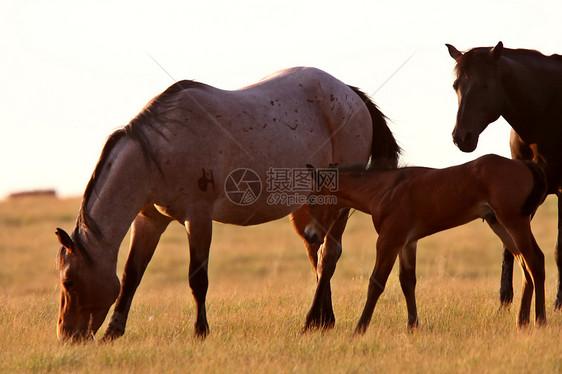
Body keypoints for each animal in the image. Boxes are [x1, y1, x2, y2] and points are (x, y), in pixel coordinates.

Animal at [53, 66, 398, 342]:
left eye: (69, 281)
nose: (66, 335)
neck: (157, 153)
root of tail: (351, 95)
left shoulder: (198, 217)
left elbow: (197, 278)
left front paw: (200, 331)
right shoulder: (149, 220)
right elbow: (131, 275)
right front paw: (113, 332)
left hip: (336, 202)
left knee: (328, 256)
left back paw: (311, 320)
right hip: (307, 207)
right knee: (316, 253)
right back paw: (323, 321)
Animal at [304, 153, 544, 334]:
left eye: (313, 199)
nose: (309, 234)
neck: (385, 190)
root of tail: (524, 164)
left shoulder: (389, 240)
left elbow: (376, 283)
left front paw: (359, 330)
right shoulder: (408, 243)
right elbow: (407, 282)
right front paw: (413, 327)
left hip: (514, 221)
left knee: (535, 259)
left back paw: (540, 320)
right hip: (500, 225)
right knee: (524, 263)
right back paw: (522, 321)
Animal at [444, 41, 560, 310]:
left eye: (485, 85)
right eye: (456, 86)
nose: (461, 137)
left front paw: (558, 303)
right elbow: (513, 248)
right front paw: (504, 301)